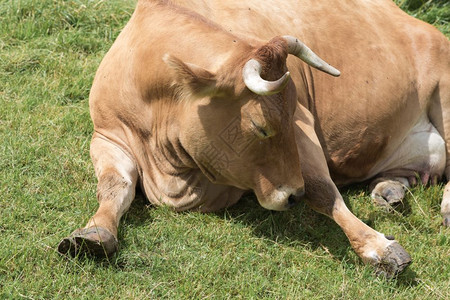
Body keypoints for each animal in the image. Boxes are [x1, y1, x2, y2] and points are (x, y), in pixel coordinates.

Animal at [56, 0, 450, 276]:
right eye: (261, 127)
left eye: (290, 115)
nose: (293, 196)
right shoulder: (106, 136)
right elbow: (114, 187)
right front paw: (92, 234)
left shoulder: (305, 126)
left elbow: (323, 191)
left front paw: (378, 248)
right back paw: (390, 191)